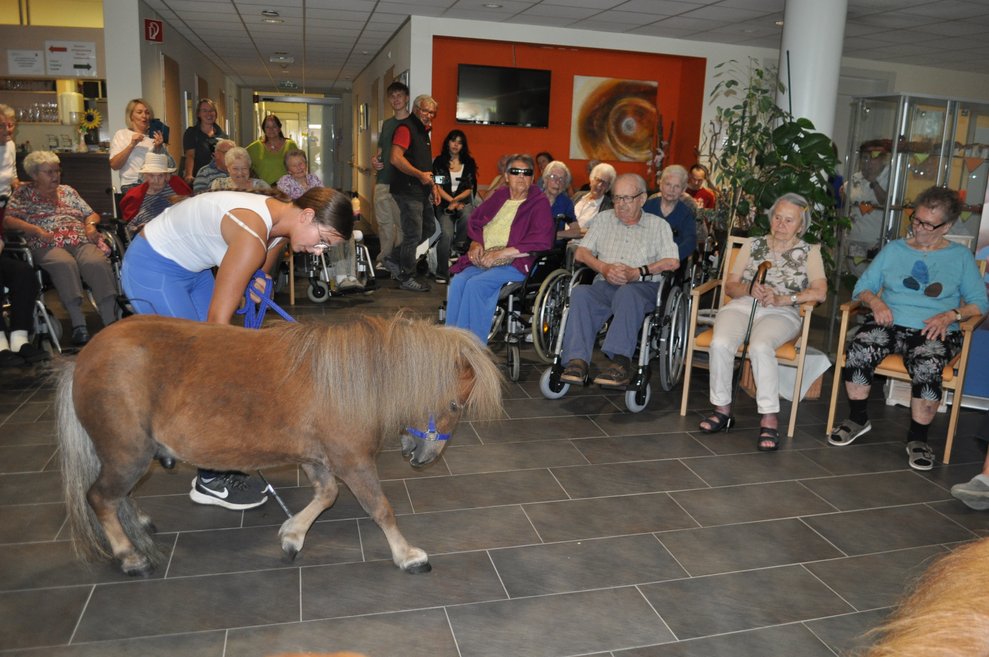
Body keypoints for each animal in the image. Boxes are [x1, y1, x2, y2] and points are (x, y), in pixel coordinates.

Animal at [57, 314, 503, 577]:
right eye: (455, 404)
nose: (422, 456)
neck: (347, 381)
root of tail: (83, 358)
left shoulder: (318, 458)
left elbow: (326, 496)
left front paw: (293, 534)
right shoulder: (352, 460)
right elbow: (380, 508)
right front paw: (407, 554)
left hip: (129, 455)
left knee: (118, 496)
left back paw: (138, 523)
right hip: (128, 454)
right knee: (100, 498)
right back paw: (128, 555)